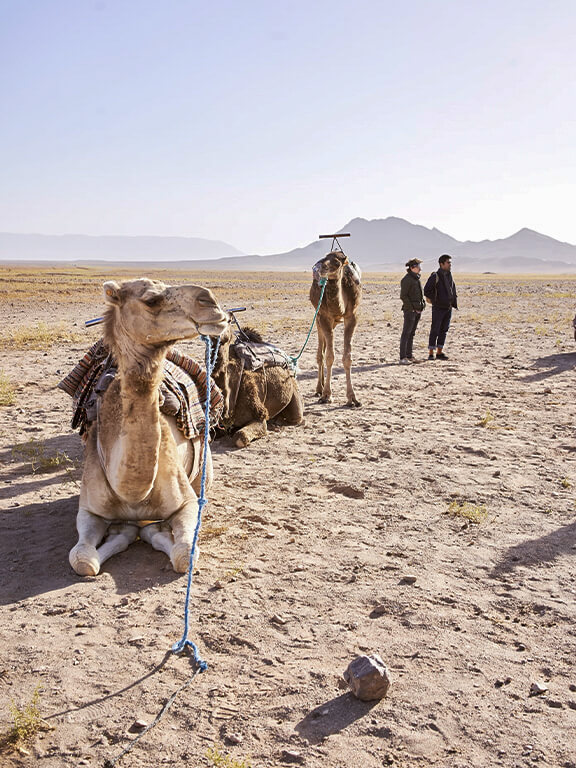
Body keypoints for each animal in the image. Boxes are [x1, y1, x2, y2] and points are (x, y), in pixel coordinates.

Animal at [308, 252, 362, 408]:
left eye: (337, 263)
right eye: (324, 258)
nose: (317, 268)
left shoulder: (352, 316)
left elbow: (347, 357)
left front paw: (352, 398)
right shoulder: (324, 317)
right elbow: (329, 357)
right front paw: (326, 395)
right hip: (318, 317)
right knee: (321, 353)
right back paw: (319, 388)